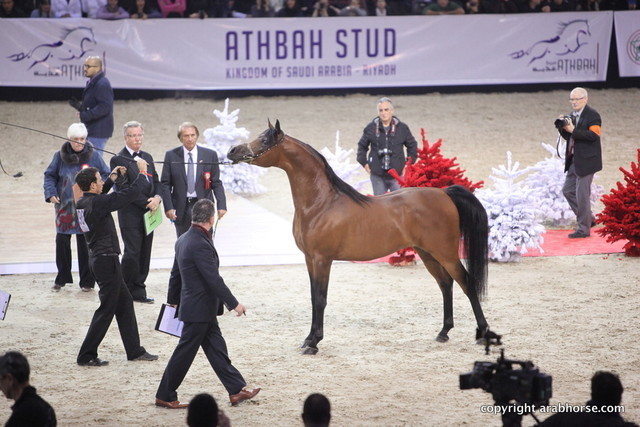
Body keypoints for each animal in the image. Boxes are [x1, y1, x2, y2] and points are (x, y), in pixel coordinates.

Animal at [227, 121, 496, 355]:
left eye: (264, 139)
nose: (232, 151)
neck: (321, 203)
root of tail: (445, 193)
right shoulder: (309, 259)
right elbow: (313, 297)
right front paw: (308, 339)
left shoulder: (323, 259)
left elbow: (320, 299)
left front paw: (314, 344)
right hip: (427, 253)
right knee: (445, 284)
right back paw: (443, 332)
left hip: (446, 253)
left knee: (467, 283)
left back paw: (483, 333)